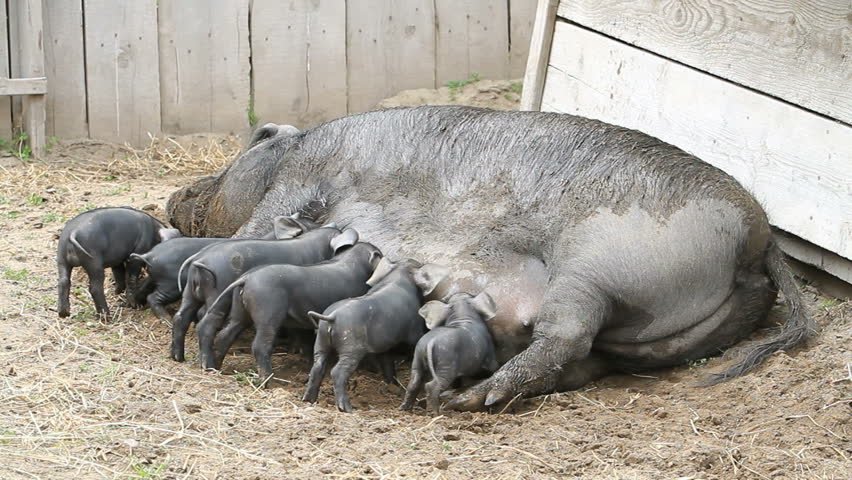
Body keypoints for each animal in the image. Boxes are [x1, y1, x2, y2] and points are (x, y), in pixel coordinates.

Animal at [128, 213, 318, 321]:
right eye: (313, 224)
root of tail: (149, 255)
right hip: (171, 284)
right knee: (154, 297)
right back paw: (166, 319)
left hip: (156, 277)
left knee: (143, 289)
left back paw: (135, 305)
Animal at [170, 223, 355, 363]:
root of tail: (200, 258)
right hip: (217, 292)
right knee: (206, 323)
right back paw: (207, 365)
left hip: (189, 292)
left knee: (181, 316)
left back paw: (177, 357)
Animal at [199, 242, 383, 383]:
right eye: (380, 255)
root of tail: (246, 278)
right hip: (268, 312)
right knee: (260, 345)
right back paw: (268, 382)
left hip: (240, 311)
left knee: (225, 335)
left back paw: (217, 368)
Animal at [302, 258, 449, 412]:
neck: (399, 274)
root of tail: (332, 316)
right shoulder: (414, 330)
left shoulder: (384, 344)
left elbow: (387, 363)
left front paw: (393, 385)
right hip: (351, 347)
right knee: (337, 372)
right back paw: (347, 409)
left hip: (321, 341)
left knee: (317, 366)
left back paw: (308, 400)